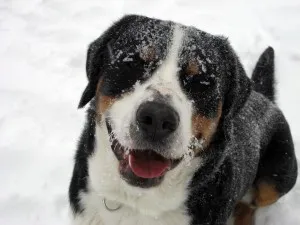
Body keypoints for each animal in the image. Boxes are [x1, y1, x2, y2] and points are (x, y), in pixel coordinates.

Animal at [69, 14, 298, 224]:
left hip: (279, 176)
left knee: (251, 203)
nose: (158, 118)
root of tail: (265, 97)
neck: (136, 202)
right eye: (132, 63)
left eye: (202, 82)